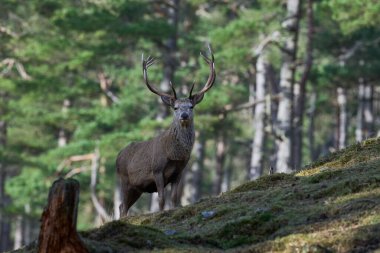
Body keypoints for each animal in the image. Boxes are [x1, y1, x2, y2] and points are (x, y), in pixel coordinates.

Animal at [116, 44, 215, 216]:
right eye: (175, 108)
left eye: (191, 106)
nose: (184, 115)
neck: (174, 155)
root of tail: (117, 157)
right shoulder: (157, 170)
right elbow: (161, 198)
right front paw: (160, 214)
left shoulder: (179, 172)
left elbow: (174, 198)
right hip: (125, 179)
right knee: (122, 206)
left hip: (137, 188)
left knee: (123, 205)